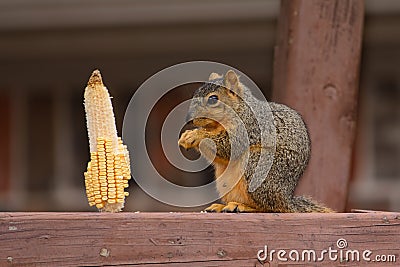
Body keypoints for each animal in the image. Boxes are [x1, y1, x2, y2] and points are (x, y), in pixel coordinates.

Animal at [180, 69, 332, 214]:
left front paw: (194, 135)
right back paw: (222, 206)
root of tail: (286, 200)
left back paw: (242, 207)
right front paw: (186, 136)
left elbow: (228, 146)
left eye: (213, 99)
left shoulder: (249, 128)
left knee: (270, 207)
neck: (239, 109)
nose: (188, 118)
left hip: (256, 167)